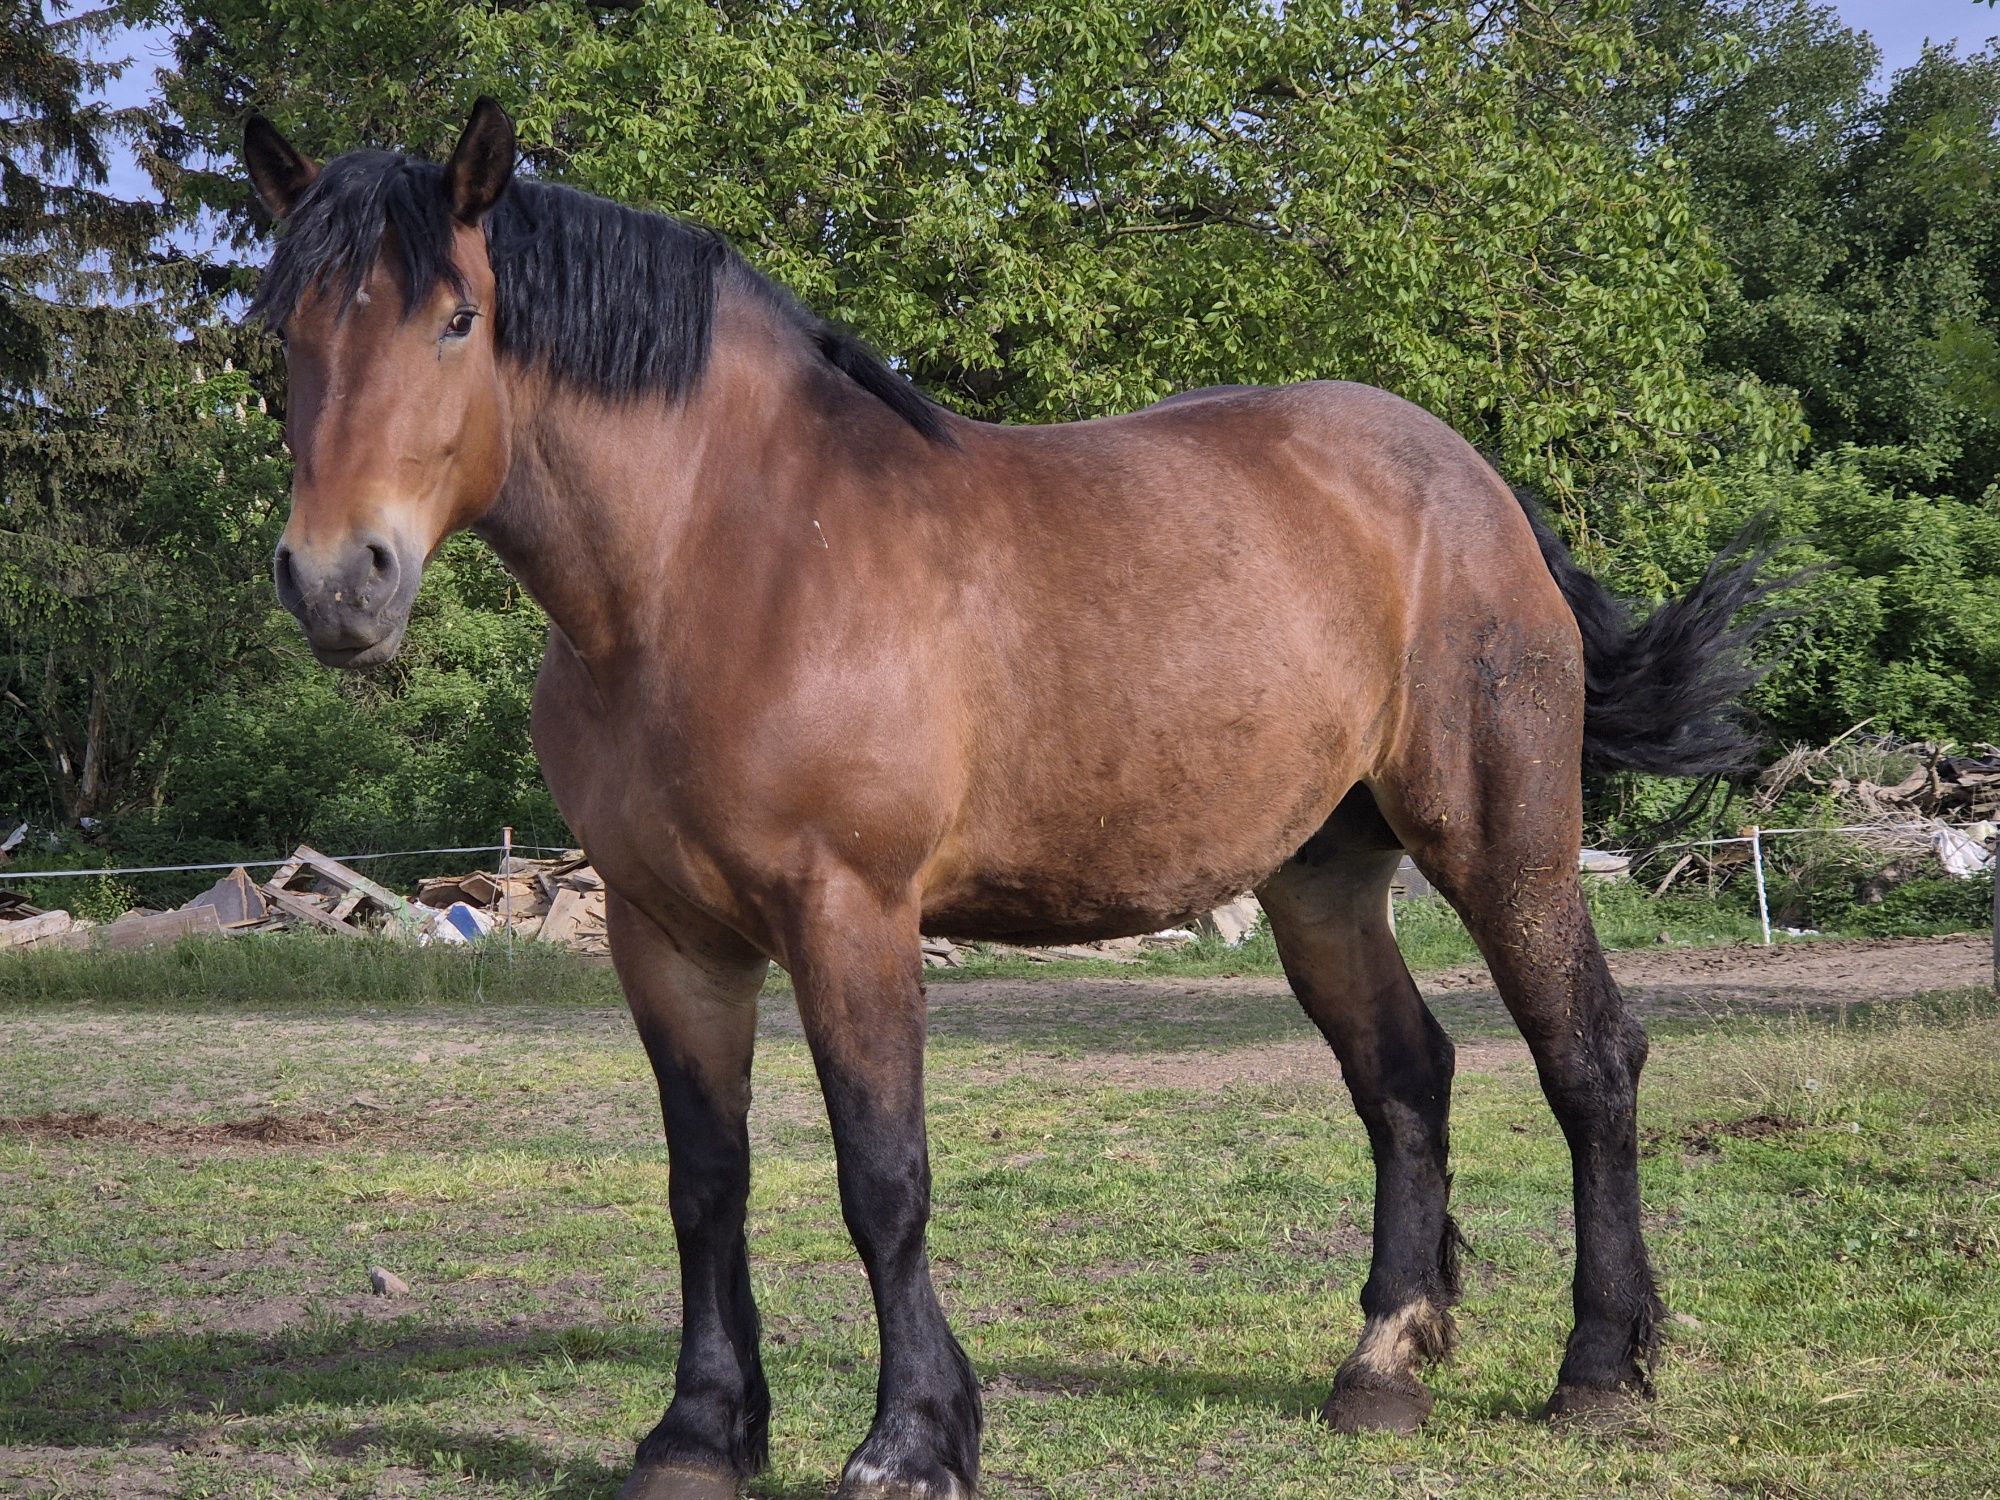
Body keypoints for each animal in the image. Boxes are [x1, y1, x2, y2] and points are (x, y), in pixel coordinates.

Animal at [246, 100, 1784, 1496]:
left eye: (457, 321)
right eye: (281, 336)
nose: (338, 583)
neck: (722, 560)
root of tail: (1473, 486)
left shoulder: (850, 914)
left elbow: (883, 1179)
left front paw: (912, 1443)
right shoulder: (666, 934)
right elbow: (706, 1181)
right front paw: (699, 1435)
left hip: (1499, 838)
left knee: (1588, 1060)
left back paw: (1599, 1371)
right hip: (1321, 876)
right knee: (1404, 1077)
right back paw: (1382, 1366)